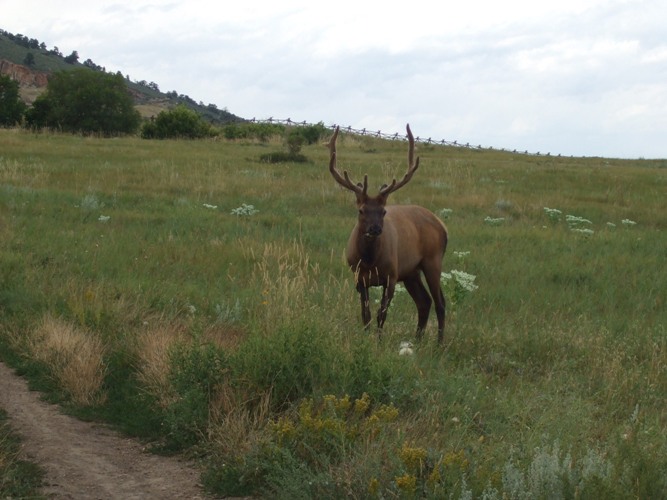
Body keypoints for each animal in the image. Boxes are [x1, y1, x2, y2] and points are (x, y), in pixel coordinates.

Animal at [328, 125, 448, 344]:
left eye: (383, 211)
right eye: (361, 210)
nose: (375, 229)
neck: (370, 261)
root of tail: (443, 227)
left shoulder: (391, 276)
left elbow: (381, 314)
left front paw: (378, 342)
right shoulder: (359, 277)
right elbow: (365, 314)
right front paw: (366, 339)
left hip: (432, 260)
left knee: (440, 302)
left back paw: (439, 344)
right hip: (411, 271)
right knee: (424, 301)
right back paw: (417, 341)